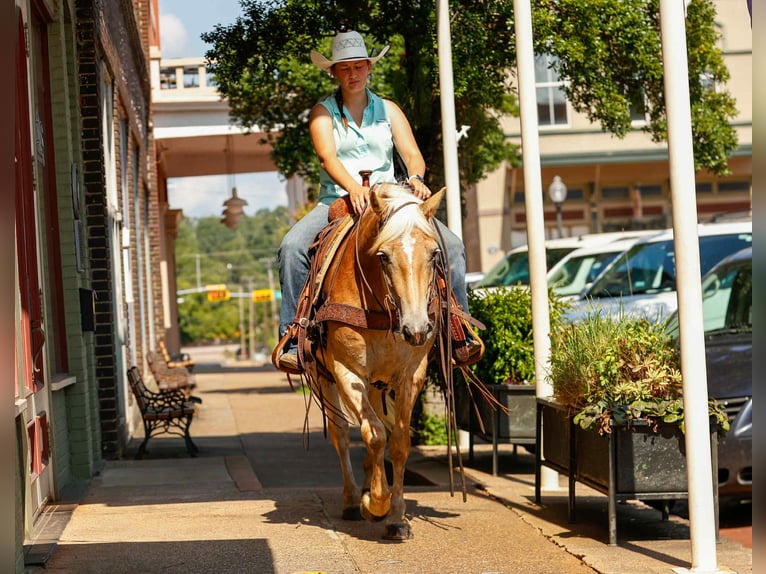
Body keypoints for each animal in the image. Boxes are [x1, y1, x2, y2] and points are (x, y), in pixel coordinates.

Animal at [303, 181, 446, 540]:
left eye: (434, 254)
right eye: (383, 256)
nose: (416, 329)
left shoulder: (411, 375)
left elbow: (398, 442)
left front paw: (396, 517)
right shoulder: (346, 371)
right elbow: (374, 435)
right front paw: (376, 503)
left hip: (378, 384)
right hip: (328, 379)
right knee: (342, 434)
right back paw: (354, 499)